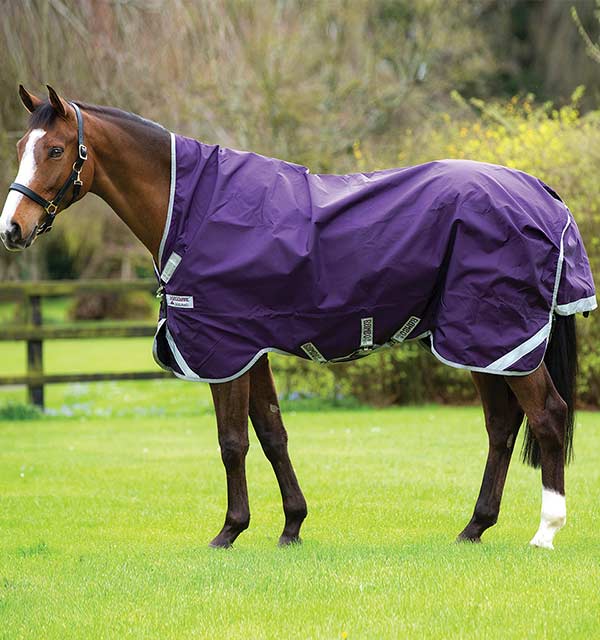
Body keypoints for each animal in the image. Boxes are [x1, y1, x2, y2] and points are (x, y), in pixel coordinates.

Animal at [1, 85, 596, 550]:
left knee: (547, 416)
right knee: (502, 426)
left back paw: (545, 531)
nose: (12, 228)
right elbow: (271, 433)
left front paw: (229, 531)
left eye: (55, 149)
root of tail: (541, 192)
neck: (192, 207)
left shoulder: (223, 348)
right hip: (482, 343)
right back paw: (474, 527)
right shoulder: (251, 348)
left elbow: (232, 441)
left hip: (498, 334)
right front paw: (291, 526)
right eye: (20, 147)